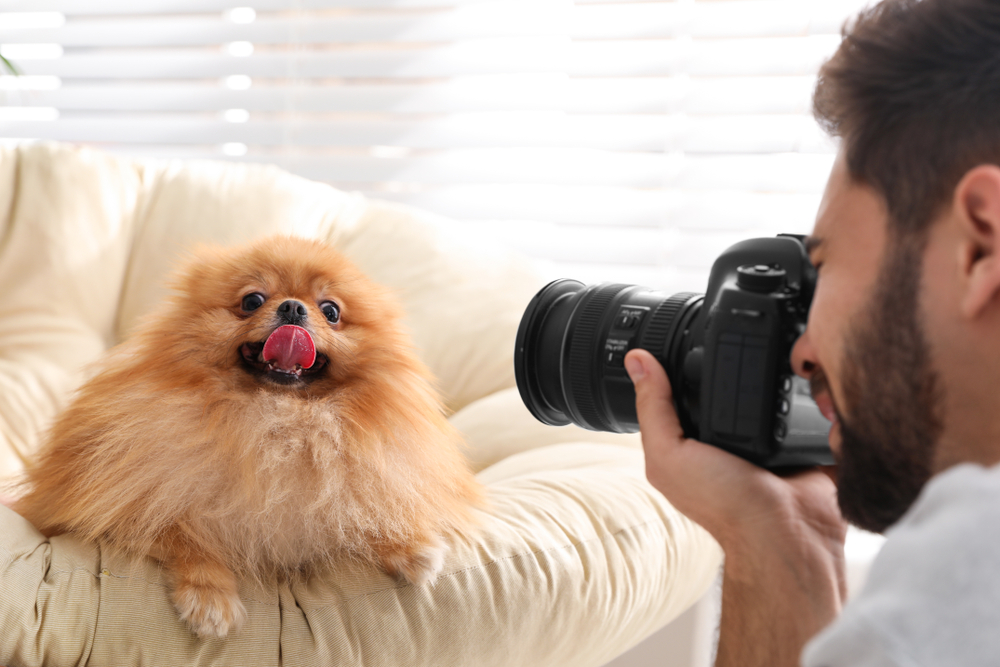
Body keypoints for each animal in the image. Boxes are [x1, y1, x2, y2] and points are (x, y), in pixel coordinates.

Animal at [13, 235, 484, 636]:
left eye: (331, 310)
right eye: (252, 300)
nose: (293, 309)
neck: (277, 422)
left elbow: (362, 506)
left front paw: (411, 546)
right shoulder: (127, 501)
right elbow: (181, 533)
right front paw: (210, 598)